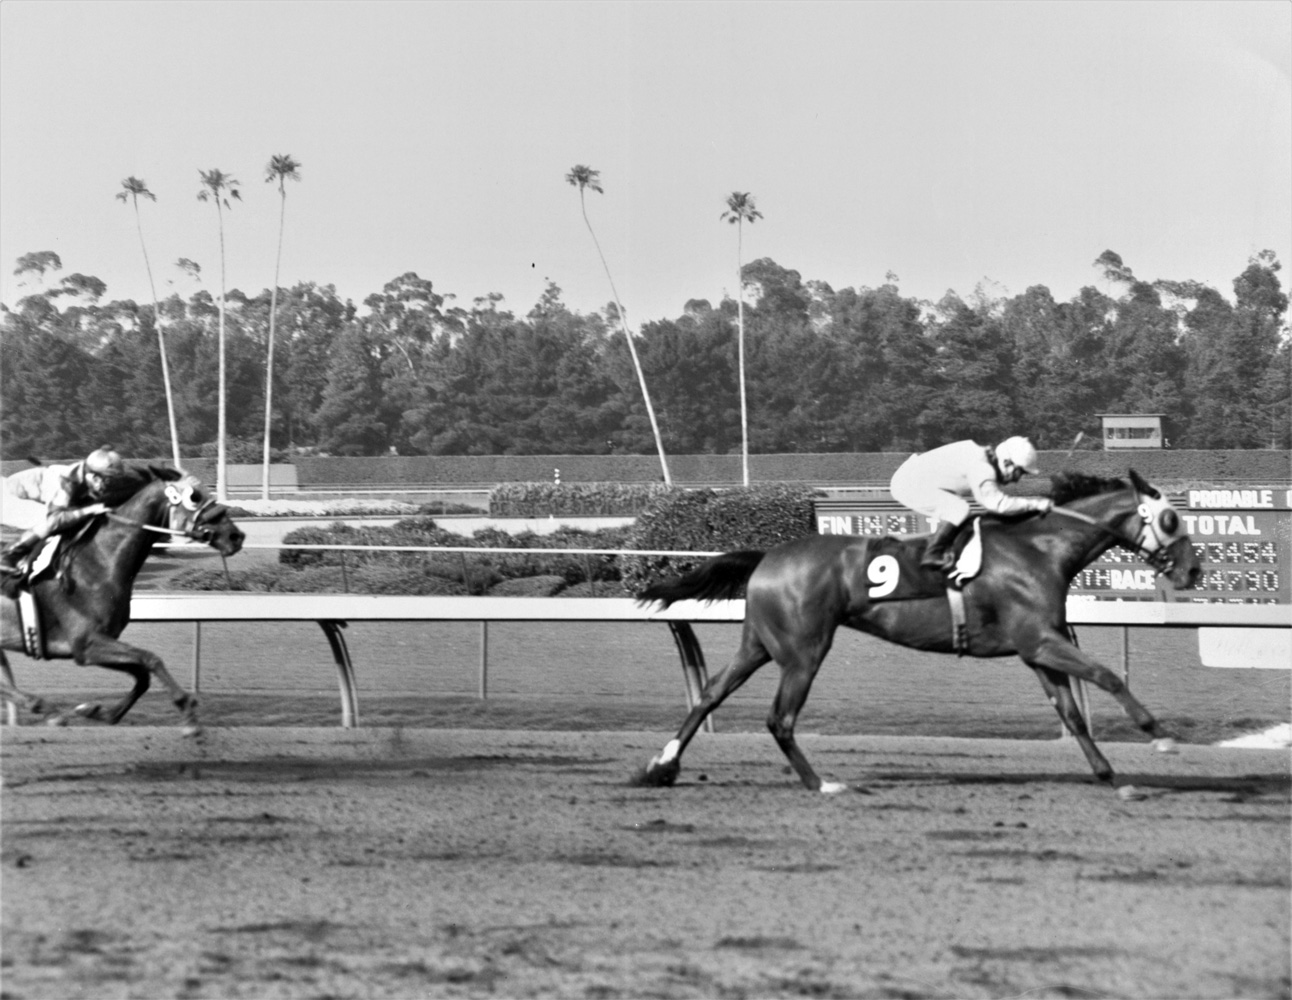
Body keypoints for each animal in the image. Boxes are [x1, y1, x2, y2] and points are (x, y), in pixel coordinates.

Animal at [0, 465, 244, 733]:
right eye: (195, 497)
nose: (235, 536)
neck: (98, 563)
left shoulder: (103, 641)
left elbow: (143, 675)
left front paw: (99, 712)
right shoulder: (85, 644)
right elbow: (151, 659)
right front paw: (188, 713)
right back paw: (48, 710)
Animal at [635, 472, 1198, 801]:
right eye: (1172, 518)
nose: (1194, 570)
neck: (1040, 549)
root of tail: (767, 556)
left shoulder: (1038, 650)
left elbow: (1073, 714)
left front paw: (1111, 776)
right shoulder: (1040, 641)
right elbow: (1109, 677)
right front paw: (1160, 735)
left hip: (759, 642)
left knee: (710, 693)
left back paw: (661, 767)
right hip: (803, 651)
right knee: (780, 718)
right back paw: (822, 783)